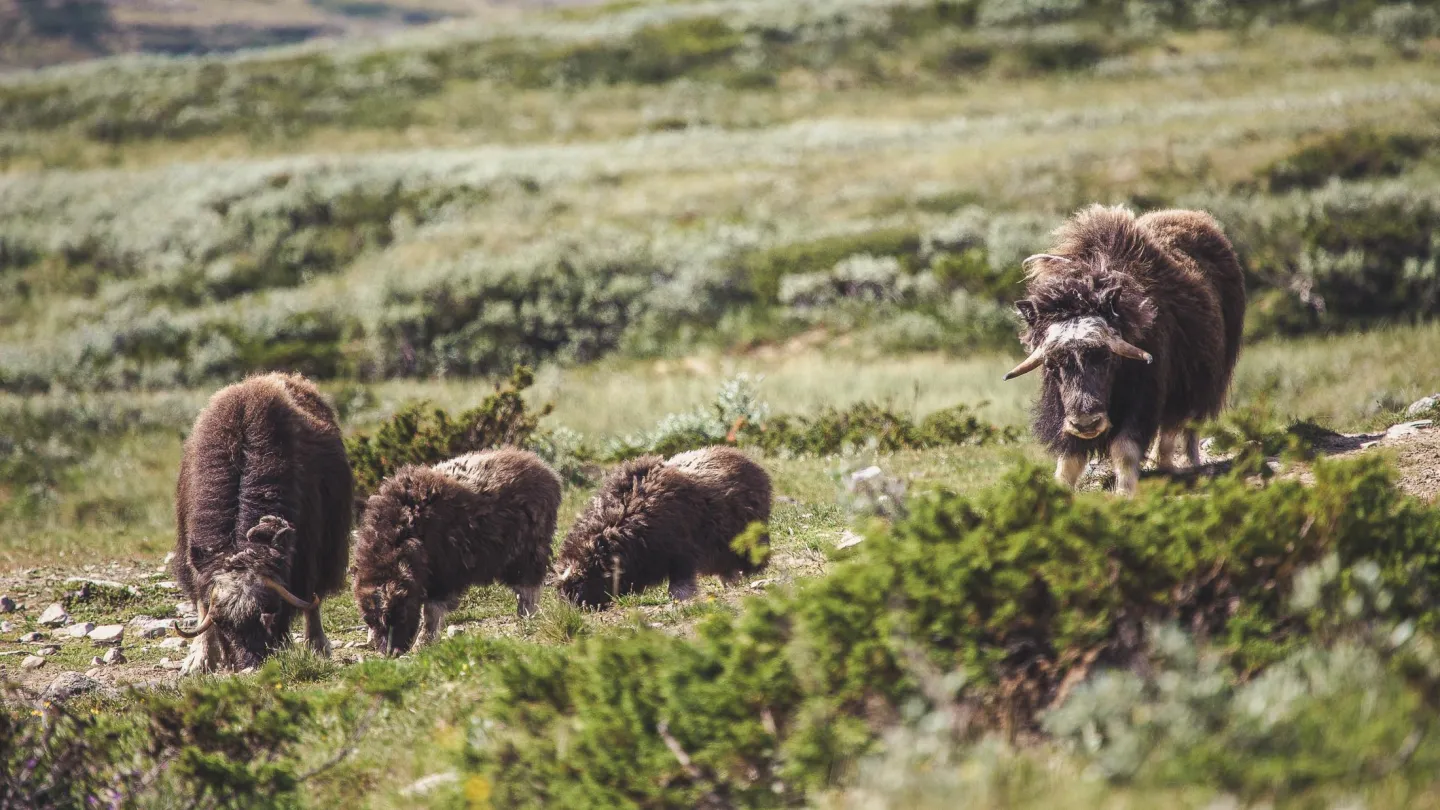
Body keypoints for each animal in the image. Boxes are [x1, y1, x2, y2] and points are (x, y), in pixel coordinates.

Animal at [172, 371, 352, 668]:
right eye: (221, 623)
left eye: (271, 611)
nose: (249, 666)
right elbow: (201, 601)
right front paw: (199, 660)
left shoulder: (307, 547)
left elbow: (307, 595)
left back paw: (318, 646)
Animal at [354, 446, 561, 657]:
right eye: (370, 620)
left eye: (400, 612)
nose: (390, 652)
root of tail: (545, 470)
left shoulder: (444, 576)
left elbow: (431, 611)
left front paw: (423, 643)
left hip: (527, 552)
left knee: (529, 585)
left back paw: (526, 616)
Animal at [552, 446, 777, 605]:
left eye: (582, 582)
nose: (573, 608)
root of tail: (752, 465)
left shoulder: (681, 552)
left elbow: (680, 580)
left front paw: (681, 597)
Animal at [1002, 201, 1249, 492]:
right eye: (1053, 365)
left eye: (1106, 358)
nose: (1086, 423)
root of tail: (1196, 217)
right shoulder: (1062, 407)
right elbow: (1069, 457)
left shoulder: (1144, 394)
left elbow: (1125, 447)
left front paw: (1124, 492)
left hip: (1201, 382)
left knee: (1180, 426)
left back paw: (1178, 464)